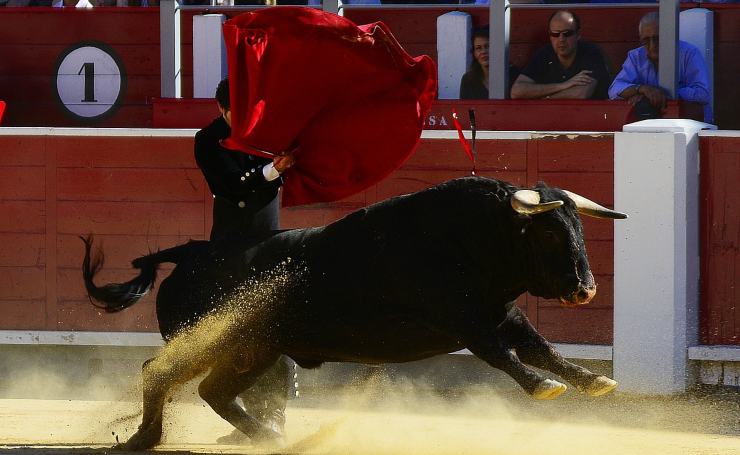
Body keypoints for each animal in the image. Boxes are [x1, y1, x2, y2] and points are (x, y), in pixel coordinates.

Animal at [82, 176, 624, 450]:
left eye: (578, 225)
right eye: (549, 232)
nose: (587, 290)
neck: (468, 236)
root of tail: (192, 252)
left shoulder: (501, 313)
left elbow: (541, 347)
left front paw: (593, 381)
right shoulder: (464, 319)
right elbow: (502, 355)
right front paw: (544, 388)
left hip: (253, 348)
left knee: (214, 390)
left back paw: (267, 438)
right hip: (212, 338)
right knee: (158, 373)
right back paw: (142, 439)